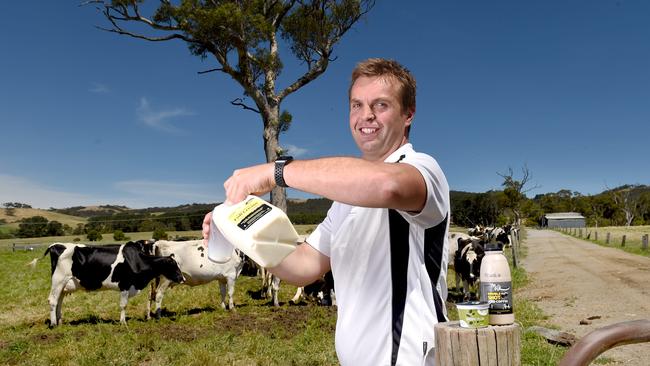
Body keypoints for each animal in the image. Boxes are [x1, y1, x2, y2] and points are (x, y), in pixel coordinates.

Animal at [34, 240, 182, 326]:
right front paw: (123, 322)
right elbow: (123, 305)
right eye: (173, 265)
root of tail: (55, 245)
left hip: (64, 284)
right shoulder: (125, 285)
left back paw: (60, 321)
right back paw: (53, 324)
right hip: (58, 280)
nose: (183, 279)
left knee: (59, 300)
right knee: (53, 300)